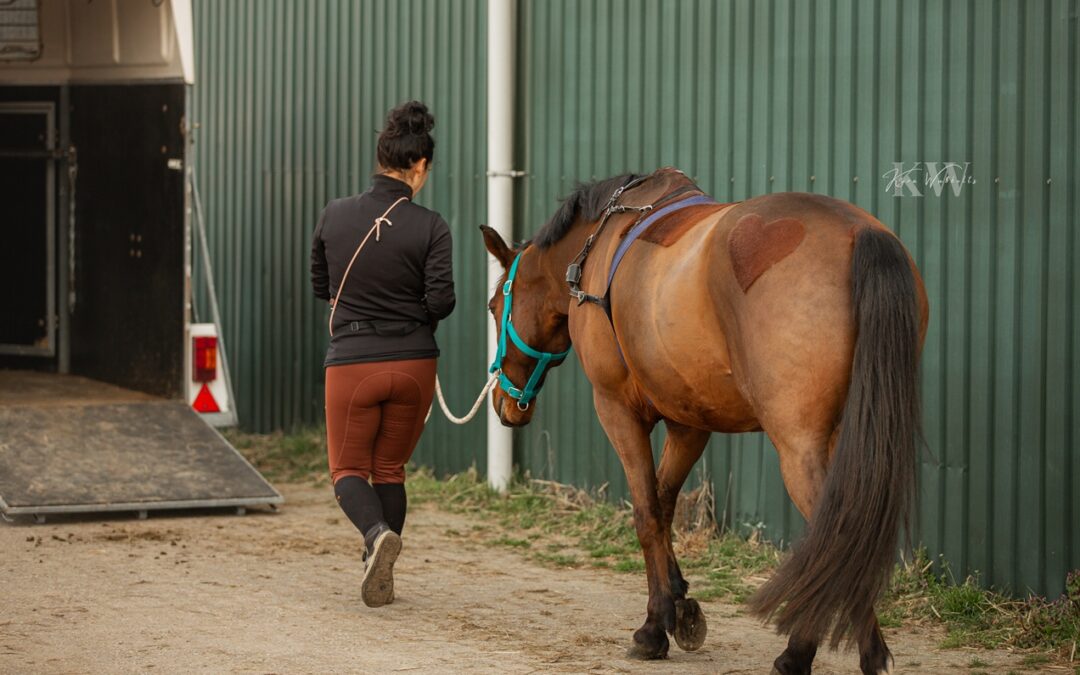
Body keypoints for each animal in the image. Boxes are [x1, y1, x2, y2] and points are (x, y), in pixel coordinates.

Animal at [480, 167, 928, 674]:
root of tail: (861, 233)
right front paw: (680, 605)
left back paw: (804, 653)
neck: (594, 251)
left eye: (495, 306)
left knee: (837, 535)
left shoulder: (617, 410)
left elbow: (646, 512)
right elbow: (664, 504)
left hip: (801, 447)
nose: (503, 403)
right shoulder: (690, 423)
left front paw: (654, 626)